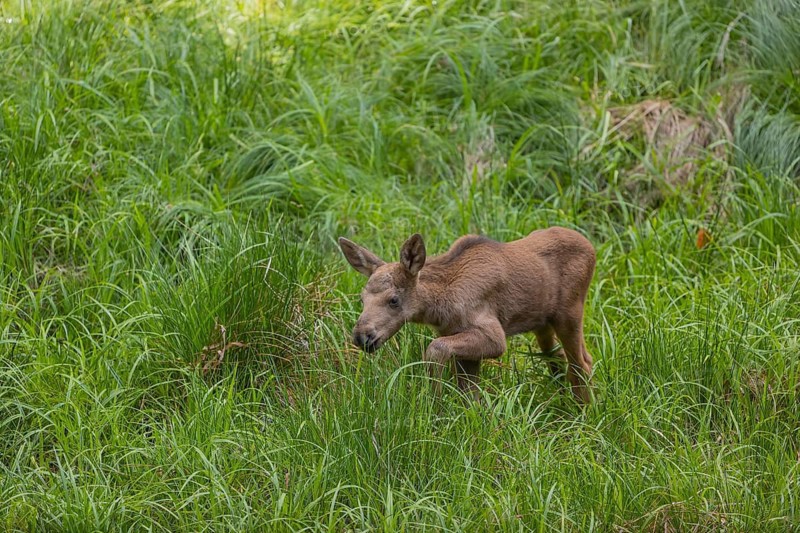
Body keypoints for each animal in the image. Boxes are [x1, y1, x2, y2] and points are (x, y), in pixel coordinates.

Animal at [338, 227, 596, 403]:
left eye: (394, 300)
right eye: (362, 299)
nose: (362, 336)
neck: (440, 306)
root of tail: (592, 248)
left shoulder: (493, 335)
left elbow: (435, 349)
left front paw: (434, 403)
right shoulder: (459, 339)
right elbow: (470, 394)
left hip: (570, 313)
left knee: (581, 363)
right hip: (543, 323)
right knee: (560, 357)